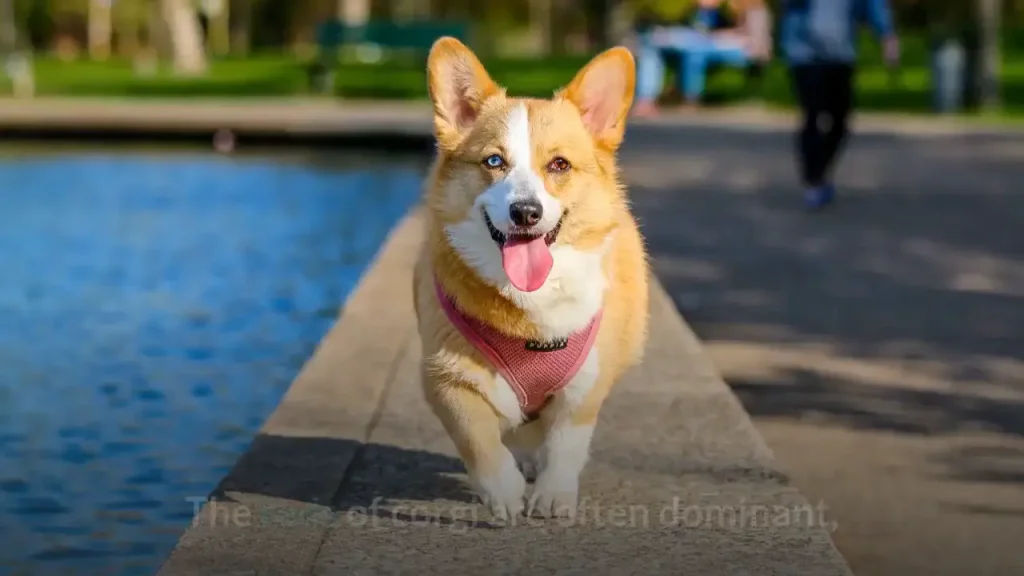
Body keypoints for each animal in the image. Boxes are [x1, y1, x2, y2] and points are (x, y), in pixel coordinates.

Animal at [409, 38, 643, 518]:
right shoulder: (445, 376)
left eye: (559, 165)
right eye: (494, 160)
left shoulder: (586, 384)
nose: (526, 212)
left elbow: (567, 442)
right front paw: (502, 490)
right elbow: (477, 438)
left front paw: (554, 494)